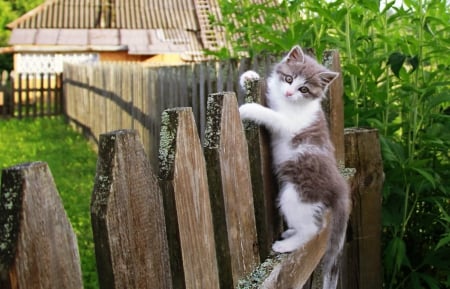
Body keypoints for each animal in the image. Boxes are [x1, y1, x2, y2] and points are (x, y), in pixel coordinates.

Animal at [239, 45, 352, 288]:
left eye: (304, 89)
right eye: (289, 78)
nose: (290, 93)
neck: (289, 103)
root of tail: (340, 187)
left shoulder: (290, 123)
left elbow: (272, 115)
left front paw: (248, 108)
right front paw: (249, 76)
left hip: (297, 194)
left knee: (312, 229)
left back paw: (286, 245)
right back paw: (290, 232)